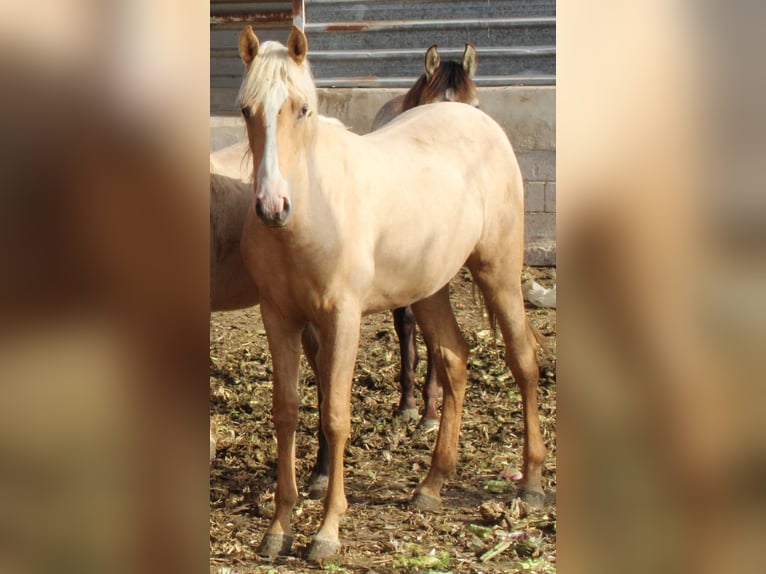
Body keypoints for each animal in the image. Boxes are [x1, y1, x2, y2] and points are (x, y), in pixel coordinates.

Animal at [237, 27, 544, 564]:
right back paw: (432, 484)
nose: (273, 206)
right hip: (429, 288)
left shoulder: (343, 318)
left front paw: (327, 532)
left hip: (499, 271)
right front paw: (278, 529)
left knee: (523, 359)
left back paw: (530, 481)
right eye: (246, 110)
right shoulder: (279, 318)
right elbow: (287, 413)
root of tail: (476, 118)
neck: (314, 209)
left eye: (301, 109)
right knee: (455, 357)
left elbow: (335, 416)